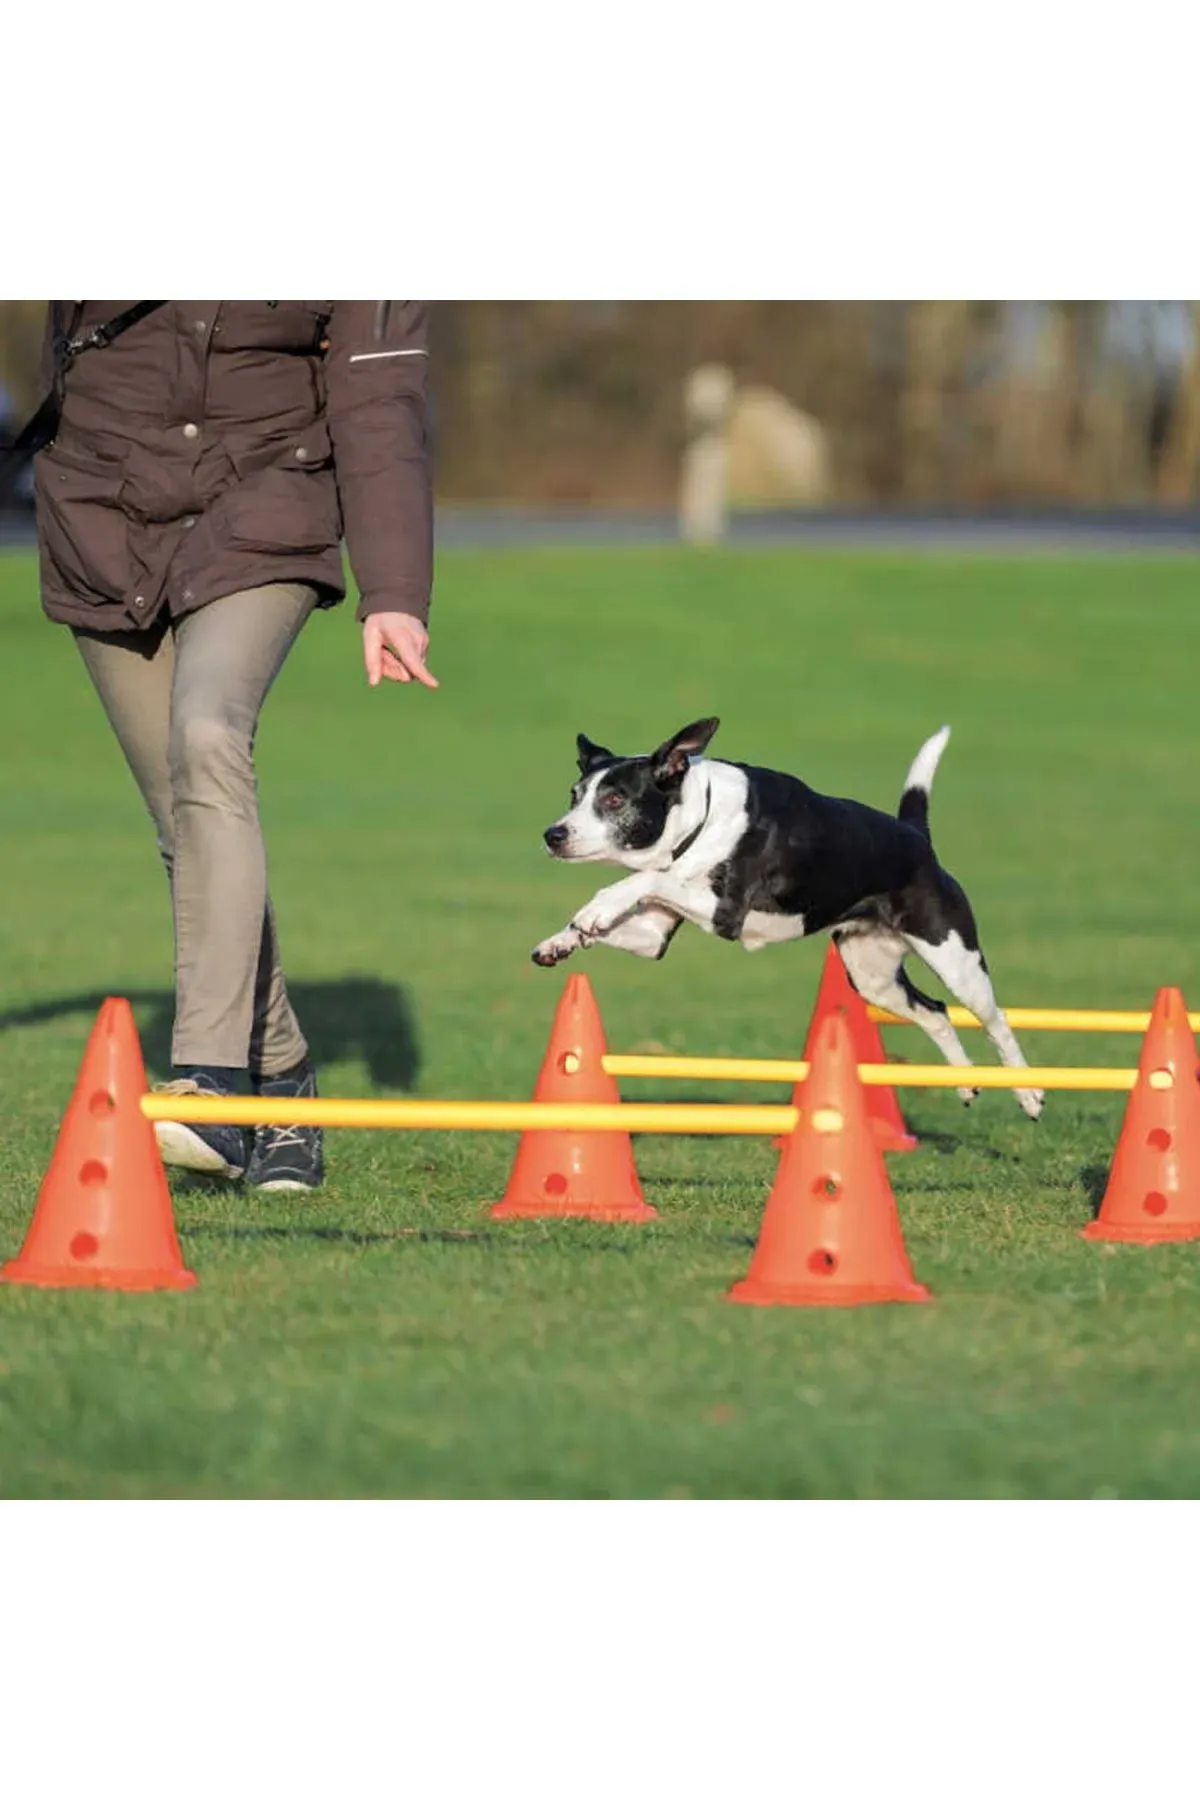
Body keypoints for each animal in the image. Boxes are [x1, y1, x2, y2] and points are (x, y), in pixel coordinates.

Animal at [532, 712, 1043, 1108]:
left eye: (615, 799)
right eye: (574, 795)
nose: (553, 835)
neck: (701, 814)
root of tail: (917, 837)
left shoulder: (725, 911)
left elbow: (646, 879)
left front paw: (598, 907)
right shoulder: (653, 935)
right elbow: (636, 902)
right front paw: (562, 940)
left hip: (956, 958)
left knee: (995, 1019)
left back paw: (1029, 1093)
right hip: (873, 976)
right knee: (935, 1011)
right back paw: (966, 1083)